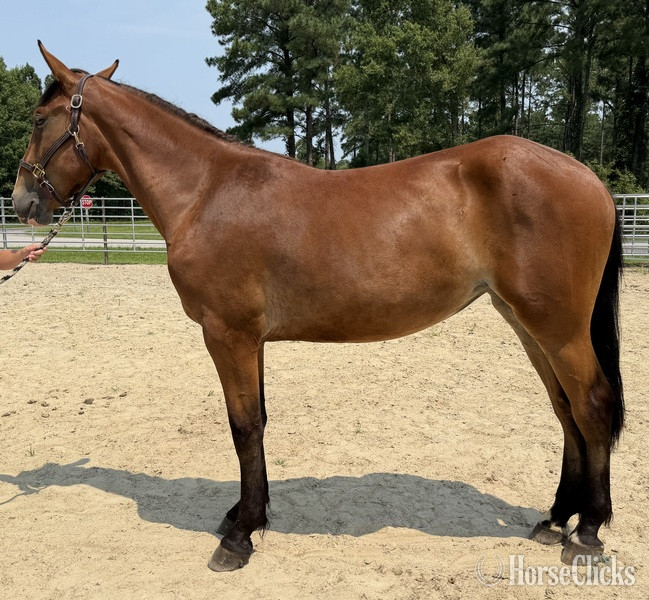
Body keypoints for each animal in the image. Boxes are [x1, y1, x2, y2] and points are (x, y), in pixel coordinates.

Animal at [12, 43, 624, 571]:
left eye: (40, 120)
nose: (22, 202)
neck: (206, 191)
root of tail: (587, 177)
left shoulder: (227, 333)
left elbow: (243, 426)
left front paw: (240, 536)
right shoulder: (250, 339)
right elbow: (257, 421)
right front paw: (246, 515)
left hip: (560, 329)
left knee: (591, 406)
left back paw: (588, 532)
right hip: (527, 325)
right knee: (565, 411)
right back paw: (556, 519)